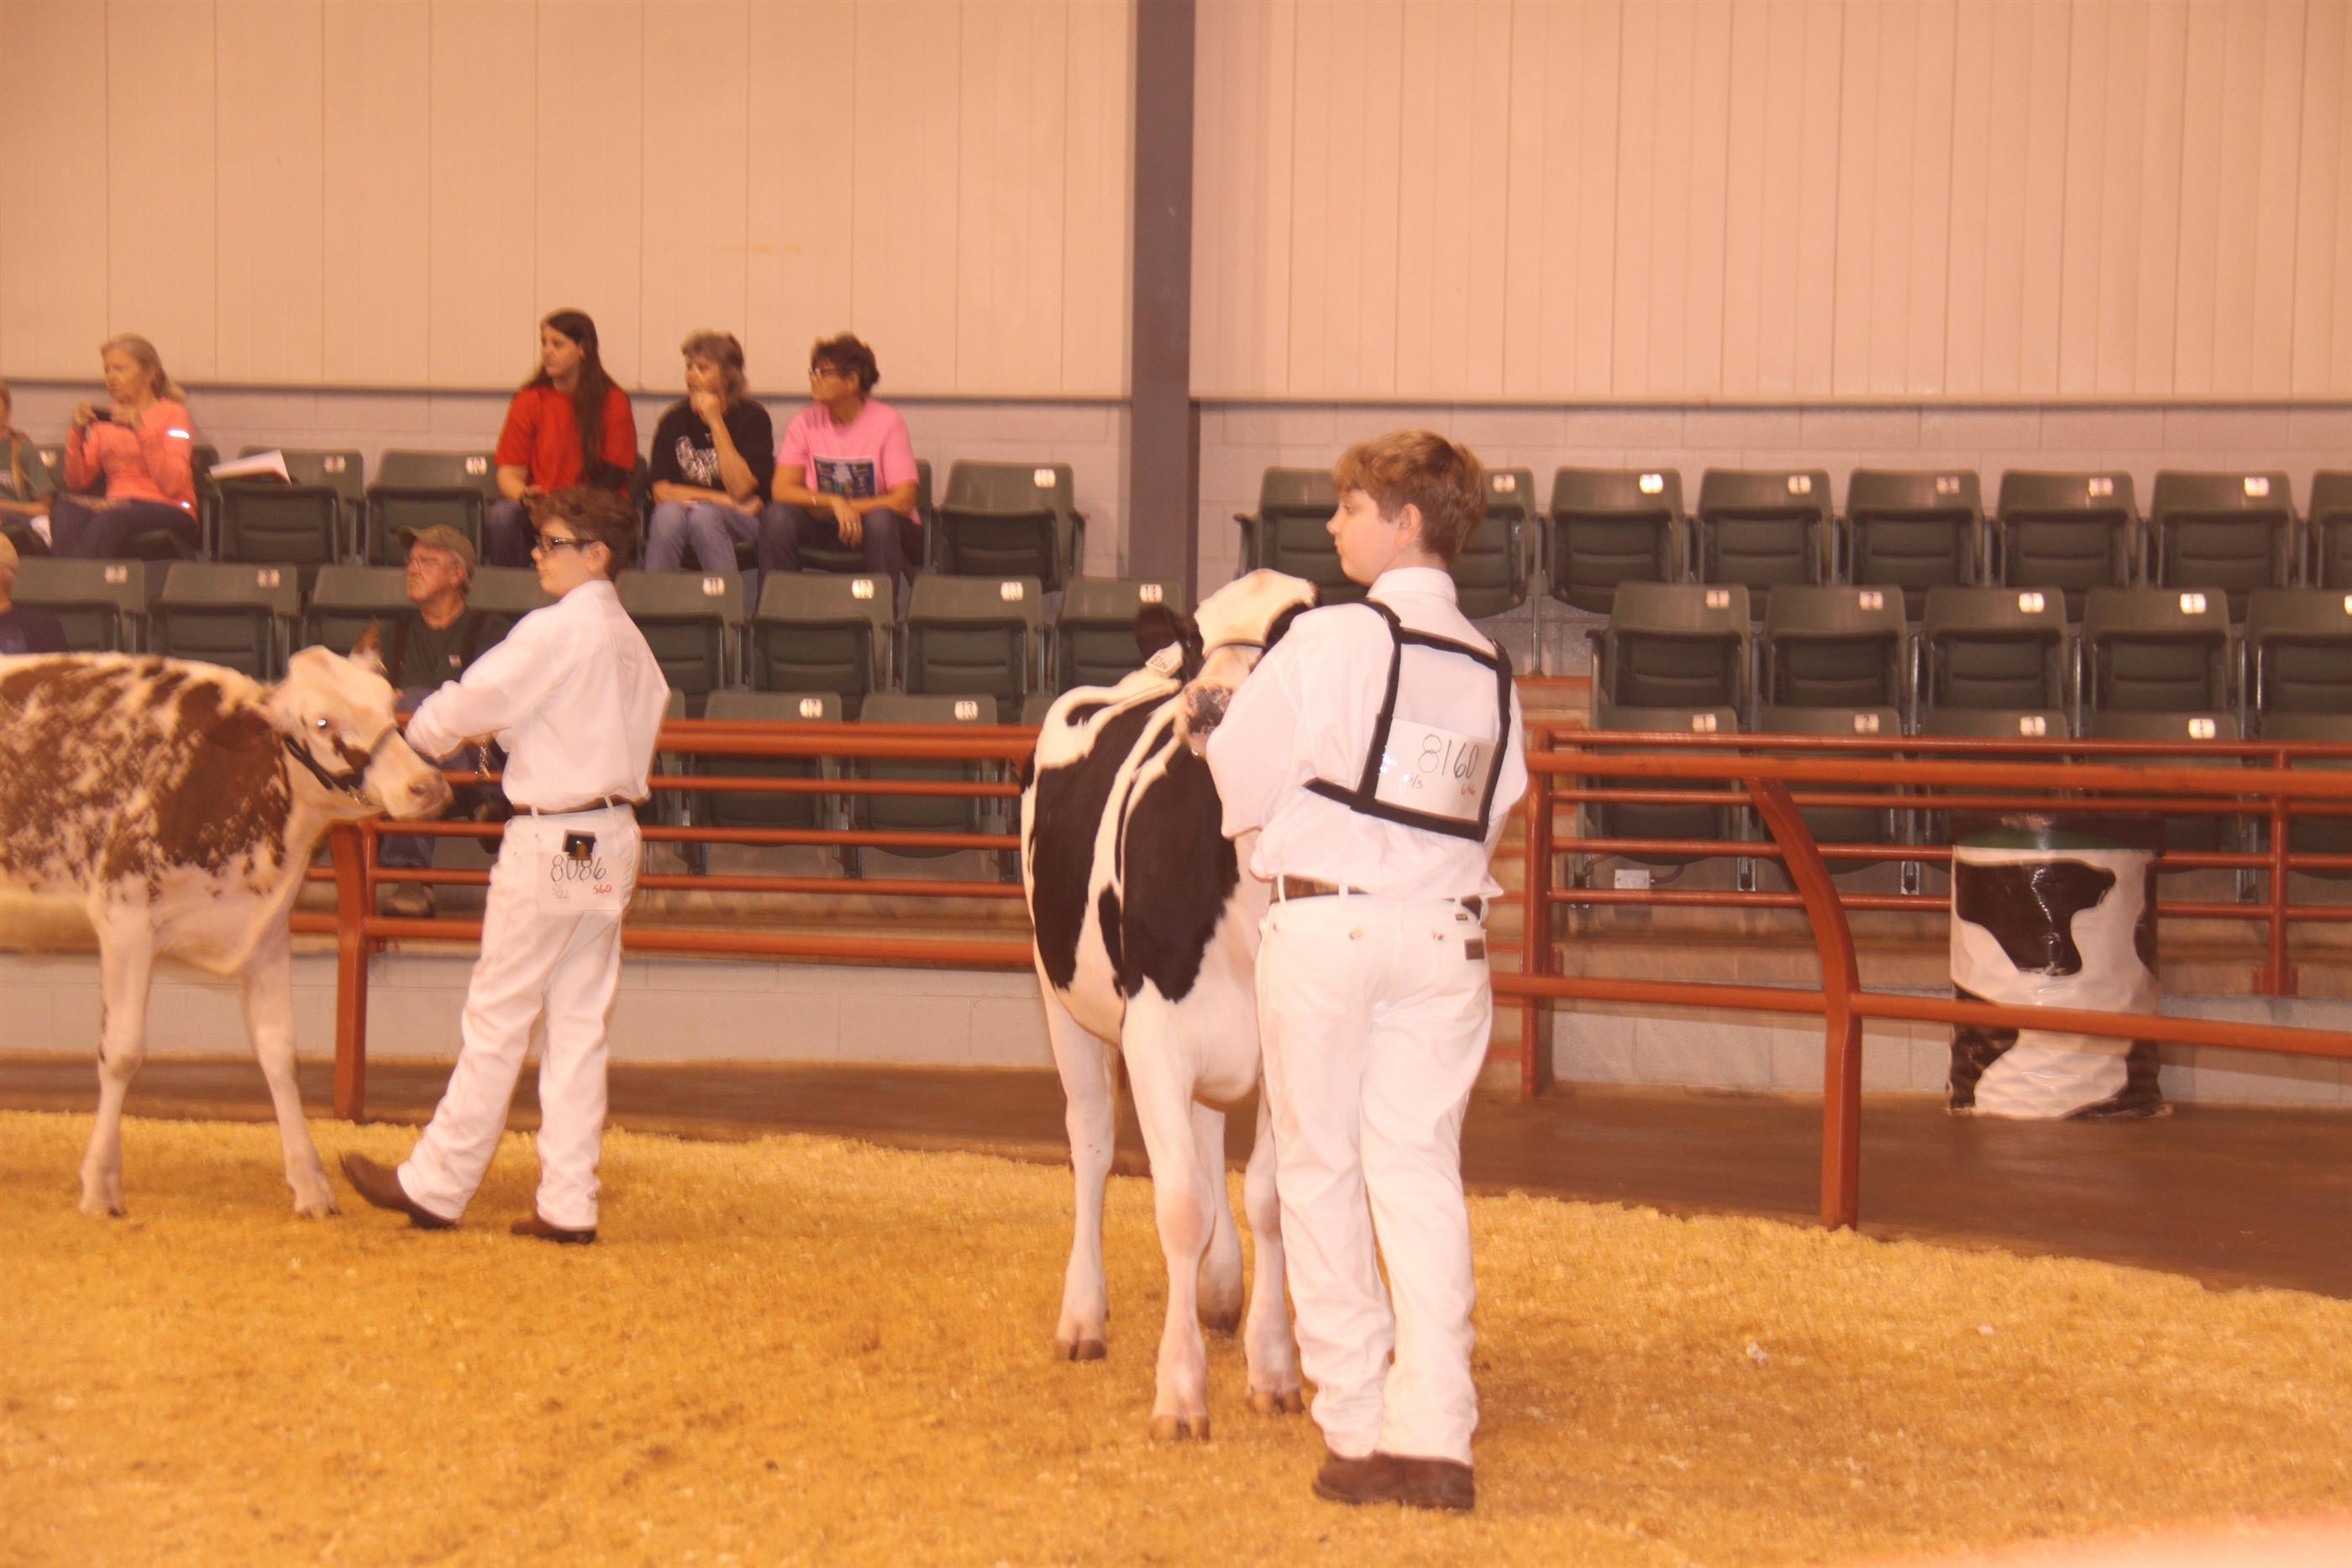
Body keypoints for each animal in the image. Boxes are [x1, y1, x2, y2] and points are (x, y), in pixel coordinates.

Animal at [0, 632, 451, 1218]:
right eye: (322, 722)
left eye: (387, 698)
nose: (427, 786)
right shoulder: (125, 919)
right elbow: (121, 1054)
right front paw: (100, 1186)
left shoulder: (268, 934)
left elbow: (280, 1054)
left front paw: (311, 1185)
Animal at [1020, 569, 1317, 1440]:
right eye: (1195, 640)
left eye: (1293, 632)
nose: (1210, 701)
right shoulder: (1151, 1035)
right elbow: (1179, 1201)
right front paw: (1180, 1391)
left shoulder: (1287, 1044)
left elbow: (1268, 1200)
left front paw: (1274, 1367)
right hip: (1061, 999)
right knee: (1090, 1144)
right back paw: (1083, 1316)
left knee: (1205, 1131)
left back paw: (1219, 1293)